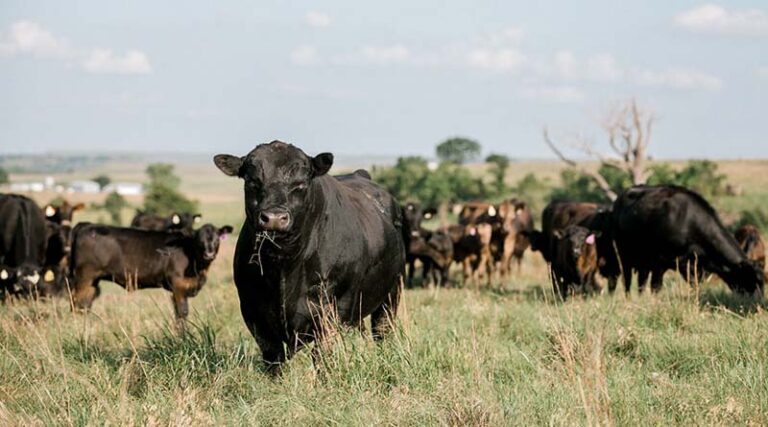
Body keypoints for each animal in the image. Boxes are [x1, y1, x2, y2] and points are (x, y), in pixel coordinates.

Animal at [68, 222, 232, 326]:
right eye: (199, 240)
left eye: (217, 239)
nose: (209, 254)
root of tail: (86, 226)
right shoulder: (178, 286)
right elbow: (182, 313)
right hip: (84, 277)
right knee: (76, 303)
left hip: (92, 281)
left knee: (85, 305)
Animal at [214, 140, 406, 373]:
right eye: (252, 181)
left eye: (301, 184)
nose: (275, 218)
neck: (283, 264)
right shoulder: (253, 310)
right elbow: (273, 357)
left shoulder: (332, 308)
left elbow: (322, 355)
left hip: (391, 293)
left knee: (382, 331)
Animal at [612, 185, 764, 296]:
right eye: (751, 279)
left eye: (763, 282)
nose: (758, 302)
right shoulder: (661, 263)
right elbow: (656, 287)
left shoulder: (694, 268)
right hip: (624, 256)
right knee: (627, 282)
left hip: (644, 261)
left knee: (641, 283)